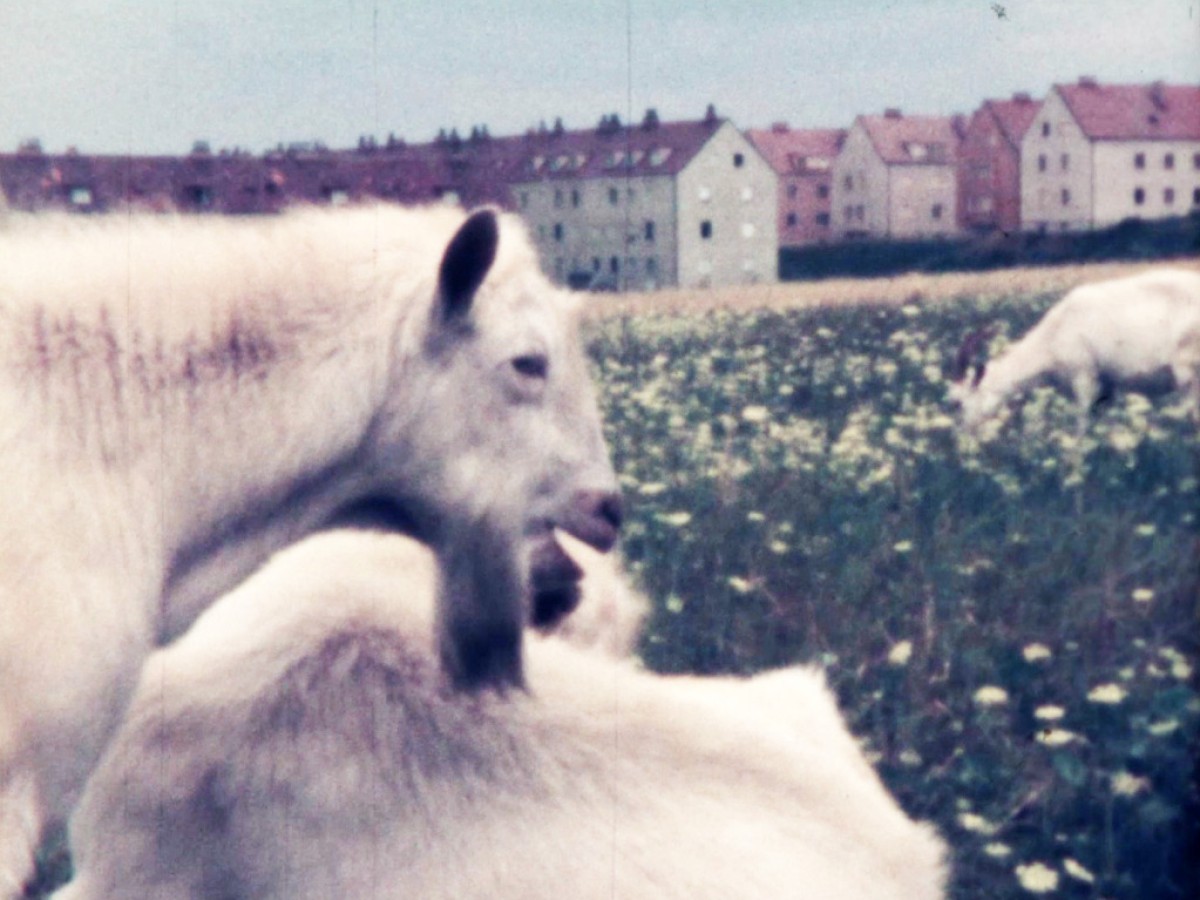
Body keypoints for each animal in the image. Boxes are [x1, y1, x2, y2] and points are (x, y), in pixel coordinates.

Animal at [945, 267, 1200, 436]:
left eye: (957, 402)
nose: (961, 436)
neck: (1058, 328)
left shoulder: (1084, 378)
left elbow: (1081, 427)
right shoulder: (1105, 388)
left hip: (1187, 375)